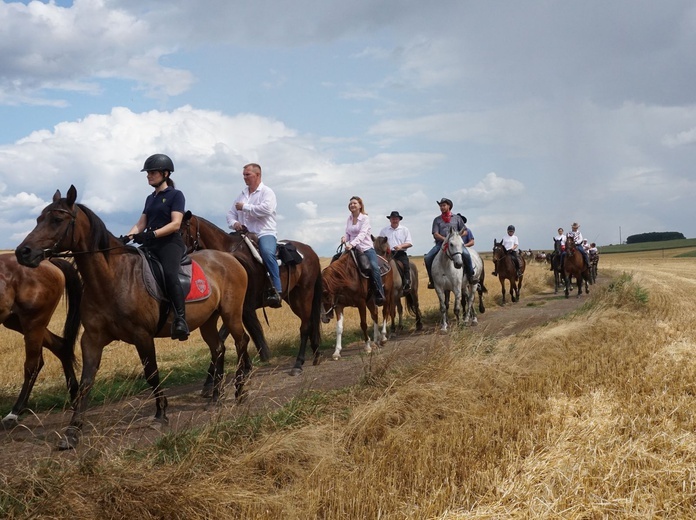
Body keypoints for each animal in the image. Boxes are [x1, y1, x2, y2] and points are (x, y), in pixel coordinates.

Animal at [0, 254, 81, 428]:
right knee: (60, 346)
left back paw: (14, 413)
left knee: (32, 364)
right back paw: (74, 394)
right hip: (16, 321)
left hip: (33, 321)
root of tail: (48, 262)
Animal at [14, 187, 250, 450]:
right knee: (218, 349)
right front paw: (72, 431)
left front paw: (161, 414)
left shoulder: (142, 335)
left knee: (241, 342)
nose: (23, 252)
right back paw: (216, 397)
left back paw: (240, 391)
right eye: (38, 219)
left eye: (57, 219)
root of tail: (229, 259)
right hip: (208, 320)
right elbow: (86, 382)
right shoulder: (92, 339)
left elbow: (151, 373)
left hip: (231, 314)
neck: (112, 278)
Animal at [178, 211, 322, 378]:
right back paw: (316, 354)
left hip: (305, 293)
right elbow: (225, 336)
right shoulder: (235, 308)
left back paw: (298, 364)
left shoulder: (242, 307)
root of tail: (310, 251)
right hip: (293, 298)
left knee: (305, 326)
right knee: (311, 322)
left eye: (181, 231)